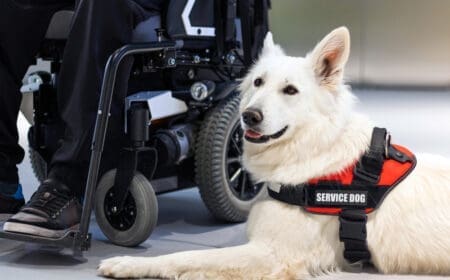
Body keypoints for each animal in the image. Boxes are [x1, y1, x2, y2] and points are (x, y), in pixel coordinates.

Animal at [98, 27, 450, 278]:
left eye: (290, 90)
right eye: (257, 82)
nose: (248, 116)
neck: (312, 152)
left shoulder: (273, 254)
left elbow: (186, 256)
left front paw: (126, 263)